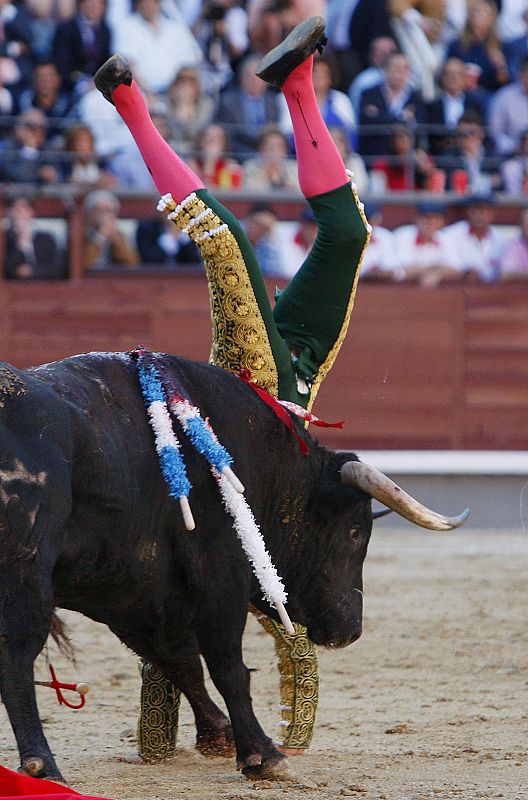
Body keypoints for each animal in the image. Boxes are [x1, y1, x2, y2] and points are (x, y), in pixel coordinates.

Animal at [0, 354, 470, 780]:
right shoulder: (220, 577)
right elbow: (227, 666)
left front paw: (219, 735)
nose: (350, 630)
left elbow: (180, 660)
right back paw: (43, 767)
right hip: (25, 578)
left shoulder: (127, 590)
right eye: (355, 531)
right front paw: (263, 756)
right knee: (17, 659)